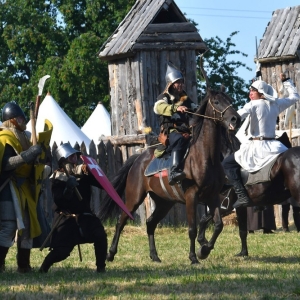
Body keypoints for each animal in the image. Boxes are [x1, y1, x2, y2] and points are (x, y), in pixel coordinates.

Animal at [99, 90, 240, 264]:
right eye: (216, 102)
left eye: (229, 99)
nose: (235, 119)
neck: (205, 156)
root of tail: (138, 160)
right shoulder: (191, 197)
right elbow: (192, 229)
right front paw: (194, 257)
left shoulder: (213, 197)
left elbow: (219, 225)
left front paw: (204, 250)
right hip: (134, 198)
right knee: (121, 220)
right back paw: (110, 254)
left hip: (164, 202)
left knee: (150, 223)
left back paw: (154, 256)